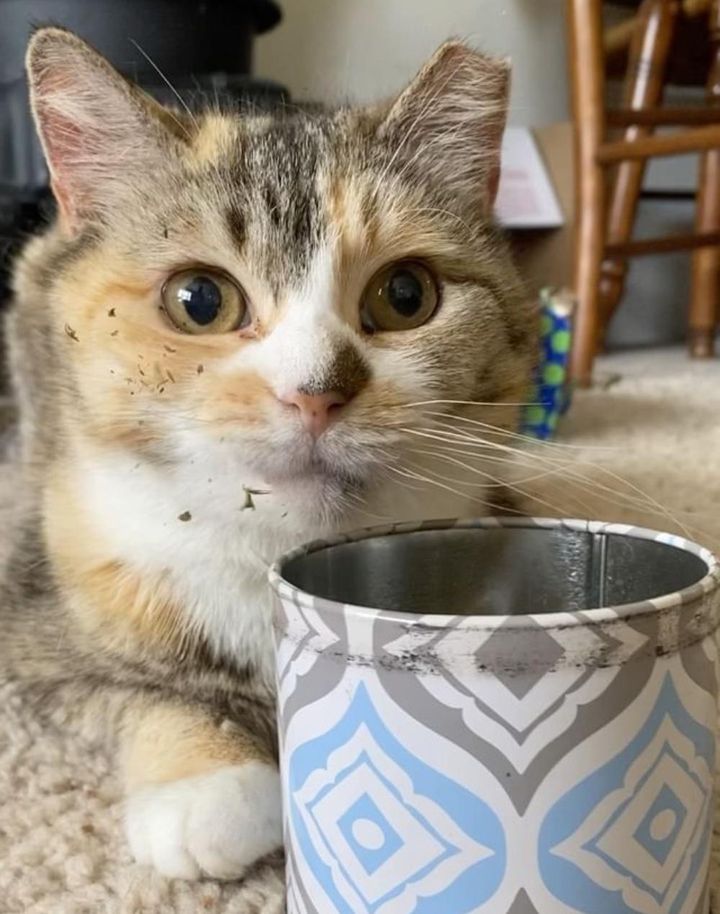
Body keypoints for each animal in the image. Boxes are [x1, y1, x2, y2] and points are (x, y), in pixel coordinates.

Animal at [1, 25, 536, 880]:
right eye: (199, 300)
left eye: (406, 295)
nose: (316, 392)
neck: (265, 557)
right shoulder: (31, 620)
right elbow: (136, 689)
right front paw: (207, 781)